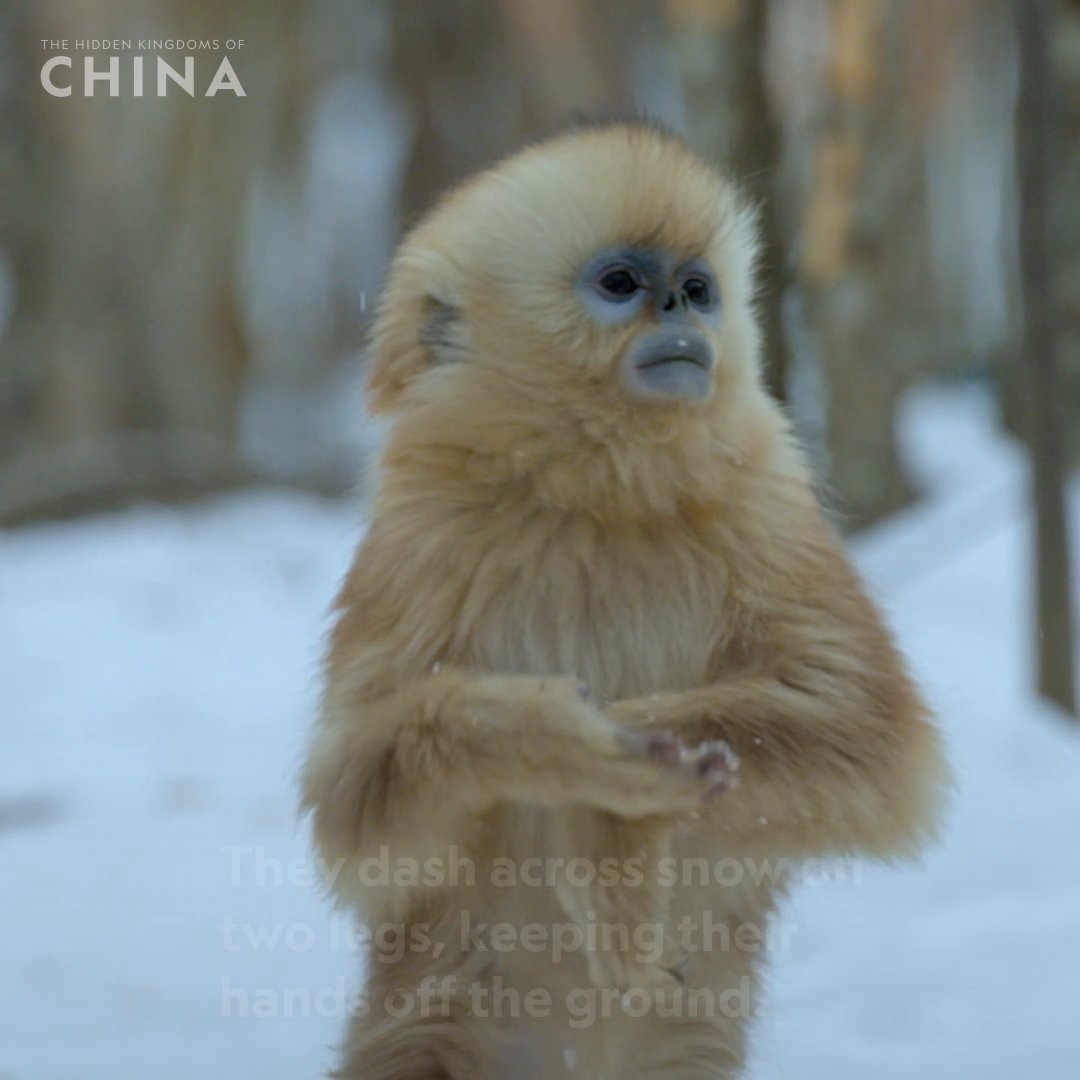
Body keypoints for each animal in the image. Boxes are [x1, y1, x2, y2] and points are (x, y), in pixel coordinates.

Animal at [300, 120, 950, 1079]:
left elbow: (874, 739)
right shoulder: (416, 543)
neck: (595, 492)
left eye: (697, 288)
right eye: (620, 284)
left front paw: (609, 816)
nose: (679, 308)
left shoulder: (768, 501)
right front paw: (566, 751)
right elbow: (355, 822)